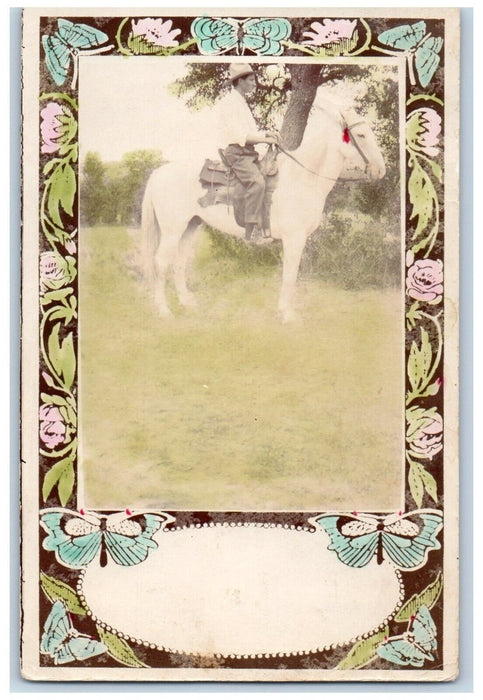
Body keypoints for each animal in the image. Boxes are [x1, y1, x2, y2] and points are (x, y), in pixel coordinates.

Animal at [140, 99, 386, 322]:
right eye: (361, 135)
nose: (381, 170)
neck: (302, 178)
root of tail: (158, 173)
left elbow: (290, 274)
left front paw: (283, 310)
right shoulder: (294, 238)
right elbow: (290, 275)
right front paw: (287, 315)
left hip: (190, 226)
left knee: (179, 262)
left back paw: (187, 303)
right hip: (173, 230)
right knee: (161, 262)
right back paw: (163, 310)